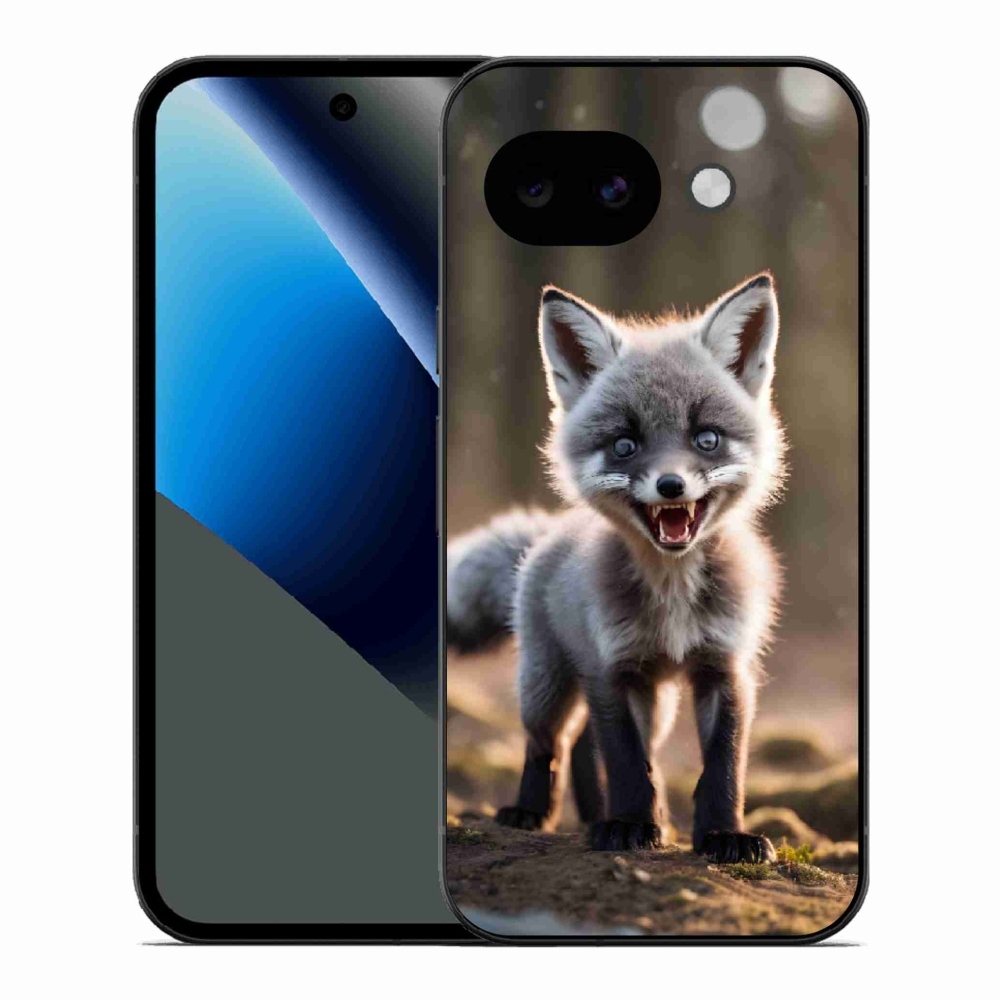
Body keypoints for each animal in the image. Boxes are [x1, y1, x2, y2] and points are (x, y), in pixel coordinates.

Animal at [447, 273, 788, 862]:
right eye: (625, 445)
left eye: (707, 438)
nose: (671, 485)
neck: (672, 597)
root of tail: (548, 533)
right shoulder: (612, 668)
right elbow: (628, 764)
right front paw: (629, 825)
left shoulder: (725, 668)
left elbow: (722, 768)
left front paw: (724, 835)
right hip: (547, 684)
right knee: (549, 743)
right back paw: (532, 812)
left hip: (657, 700)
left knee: (586, 743)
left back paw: (600, 815)